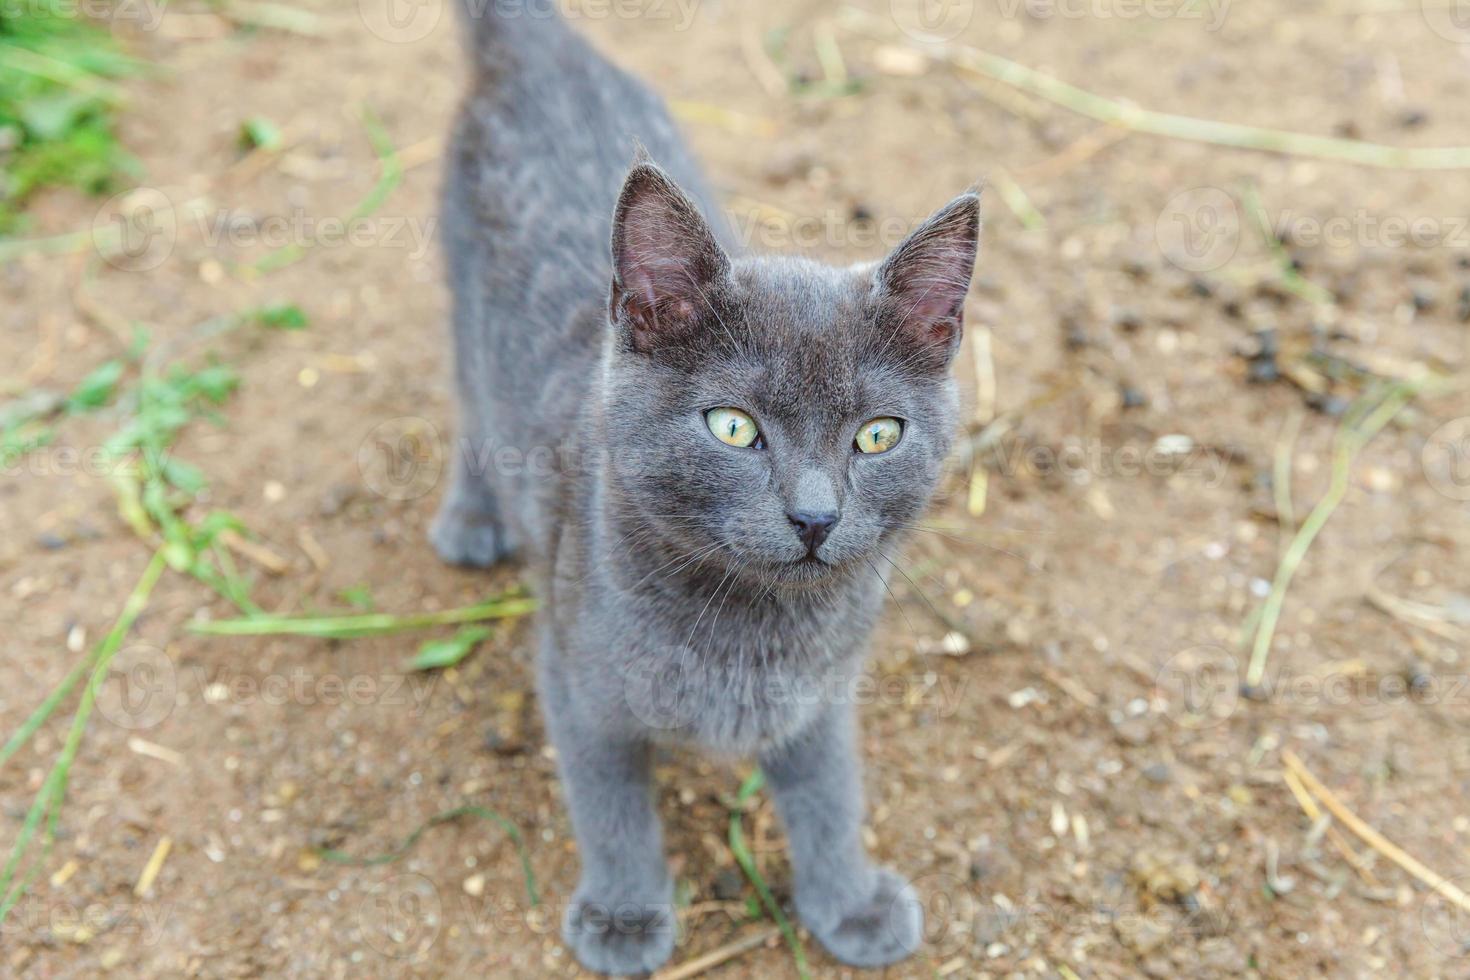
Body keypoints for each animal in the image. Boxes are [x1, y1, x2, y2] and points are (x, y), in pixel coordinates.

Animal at [429, 5, 981, 975]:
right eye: (732, 427)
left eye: (878, 436)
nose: (815, 516)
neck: (751, 632)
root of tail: (542, 48)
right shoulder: (578, 685)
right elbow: (610, 810)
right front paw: (623, 917)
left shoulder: (822, 697)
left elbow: (831, 794)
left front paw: (850, 901)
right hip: (461, 297)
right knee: (468, 395)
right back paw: (470, 517)